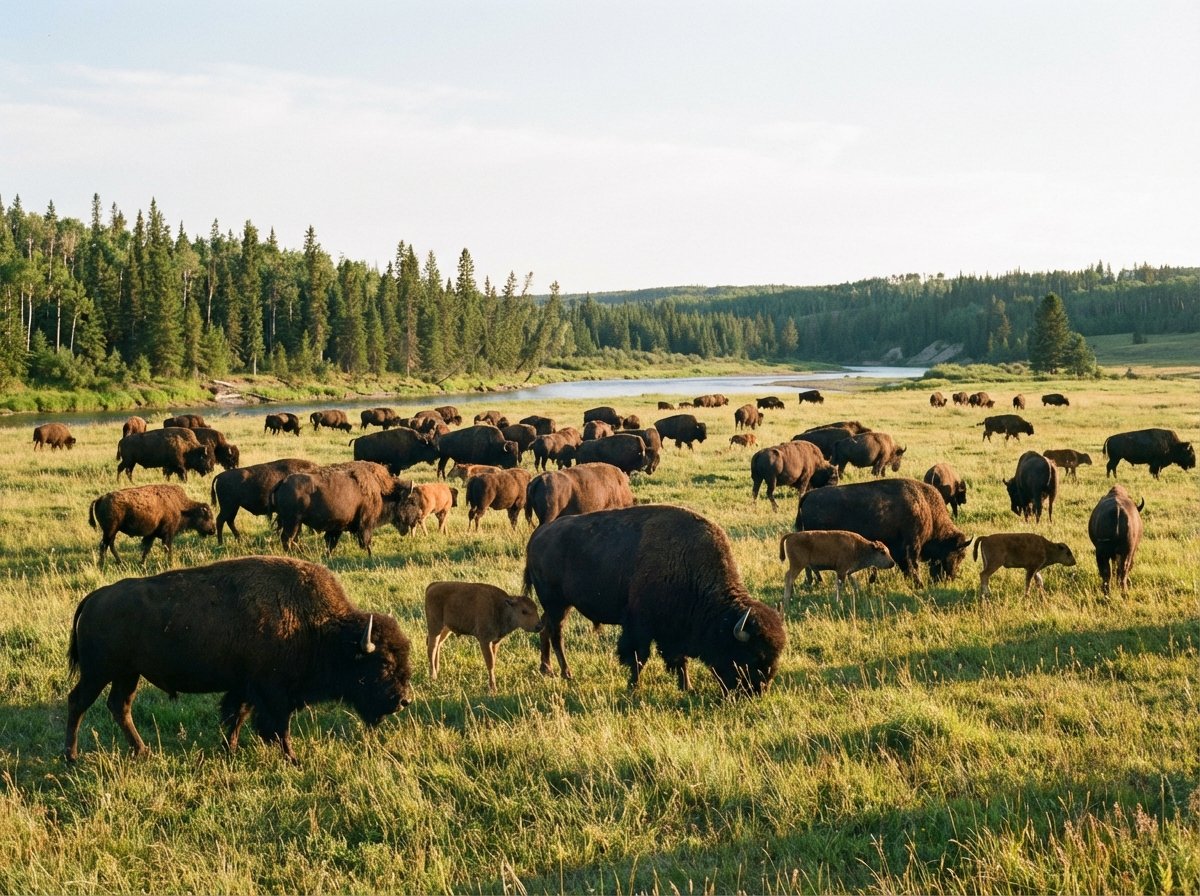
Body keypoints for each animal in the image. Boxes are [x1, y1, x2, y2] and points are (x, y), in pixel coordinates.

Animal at [65, 555, 413, 763]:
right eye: (383, 664)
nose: (403, 701)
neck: (323, 629)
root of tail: (95, 597)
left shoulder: (245, 687)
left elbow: (237, 716)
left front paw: (230, 750)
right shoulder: (273, 692)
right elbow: (278, 727)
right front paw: (292, 759)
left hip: (127, 674)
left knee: (119, 707)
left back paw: (143, 751)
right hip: (99, 673)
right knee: (78, 702)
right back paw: (72, 757)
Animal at [524, 504, 786, 694]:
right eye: (754, 655)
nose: (756, 691)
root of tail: (538, 534)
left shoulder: (674, 631)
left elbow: (679, 660)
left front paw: (687, 687)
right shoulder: (639, 625)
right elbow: (639, 657)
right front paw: (633, 688)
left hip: (560, 605)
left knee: (546, 630)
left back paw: (547, 669)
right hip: (556, 603)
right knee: (556, 634)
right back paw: (567, 673)